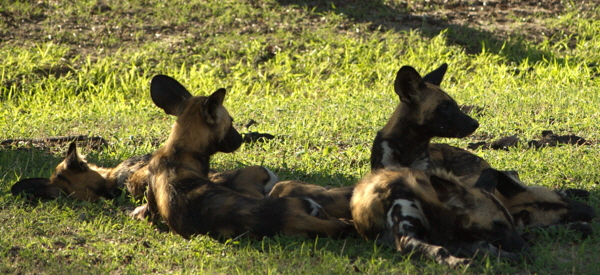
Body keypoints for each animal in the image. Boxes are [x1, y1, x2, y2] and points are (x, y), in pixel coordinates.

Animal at [350, 167, 528, 268]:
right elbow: (439, 250)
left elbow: (482, 245)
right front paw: (457, 262)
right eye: (498, 224)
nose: (524, 246)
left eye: (511, 222)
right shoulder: (406, 239)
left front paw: (510, 256)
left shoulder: (453, 238)